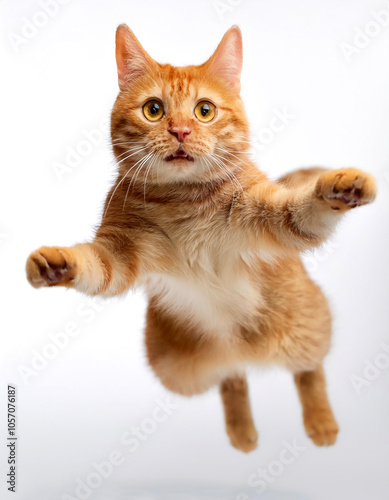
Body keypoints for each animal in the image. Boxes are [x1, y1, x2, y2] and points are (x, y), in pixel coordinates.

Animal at [25, 25, 374, 452]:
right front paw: (57, 264)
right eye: (154, 109)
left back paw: (320, 422)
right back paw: (242, 429)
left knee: (309, 369)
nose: (180, 130)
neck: (182, 202)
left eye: (204, 110)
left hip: (305, 328)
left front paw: (338, 188)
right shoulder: (120, 252)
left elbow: (304, 207)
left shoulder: (272, 218)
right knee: (231, 375)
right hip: (175, 370)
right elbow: (94, 265)